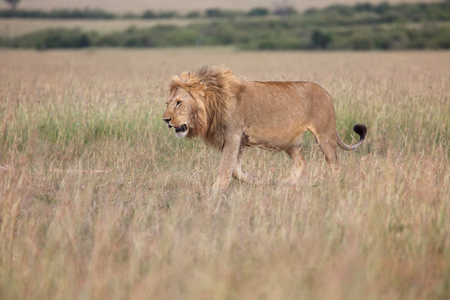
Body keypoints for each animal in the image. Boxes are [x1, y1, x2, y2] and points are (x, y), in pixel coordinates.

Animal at [163, 67, 368, 191]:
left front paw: (215, 191)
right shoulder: (239, 141)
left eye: (179, 102)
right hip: (292, 143)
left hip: (324, 135)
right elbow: (235, 171)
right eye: (167, 103)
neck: (212, 105)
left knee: (335, 164)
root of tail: (327, 93)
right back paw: (286, 184)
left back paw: (333, 185)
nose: (165, 120)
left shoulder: (233, 136)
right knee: (301, 162)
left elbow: (224, 168)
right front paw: (258, 181)